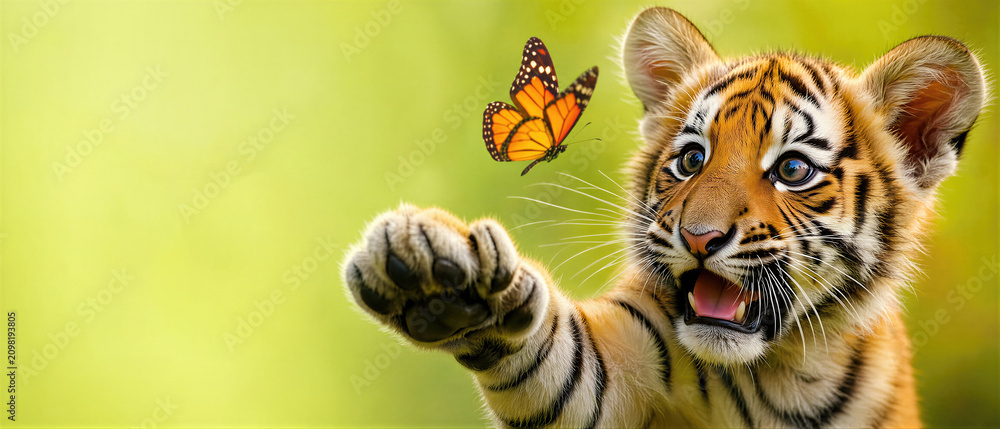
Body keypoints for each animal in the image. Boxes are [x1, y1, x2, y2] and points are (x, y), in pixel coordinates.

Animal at [343, 7, 987, 428]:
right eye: (691, 160)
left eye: (793, 169)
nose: (699, 238)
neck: (780, 376)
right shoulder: (609, 372)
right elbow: (558, 360)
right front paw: (435, 268)